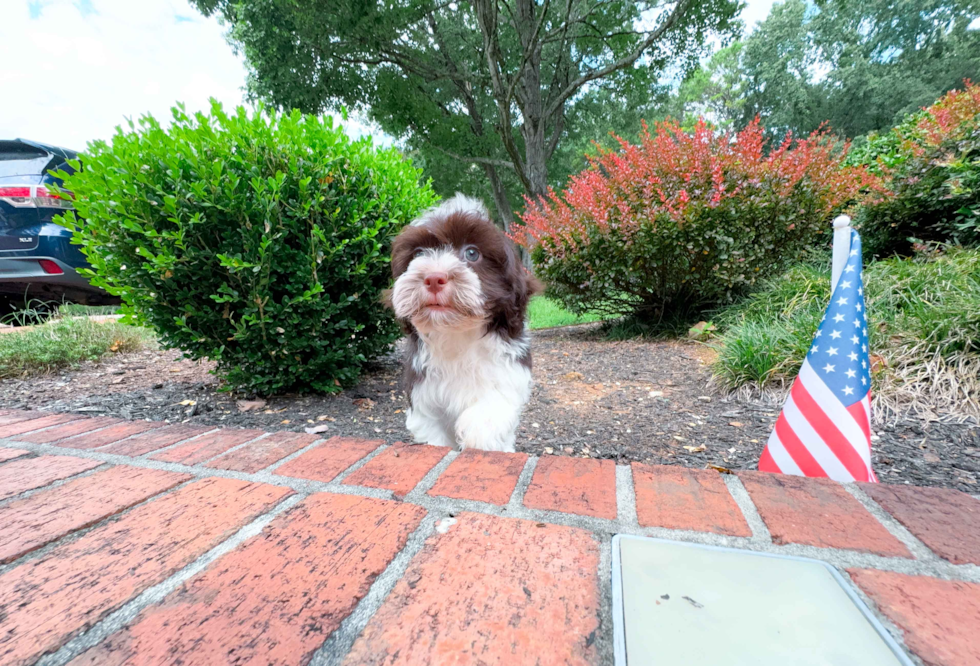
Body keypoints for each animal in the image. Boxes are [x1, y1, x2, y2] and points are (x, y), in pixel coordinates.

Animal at [388, 193, 544, 452]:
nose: (433, 278)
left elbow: (489, 414)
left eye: (472, 253)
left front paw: (477, 436)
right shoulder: (423, 394)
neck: (456, 333)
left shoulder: (507, 372)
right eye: (418, 254)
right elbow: (433, 431)